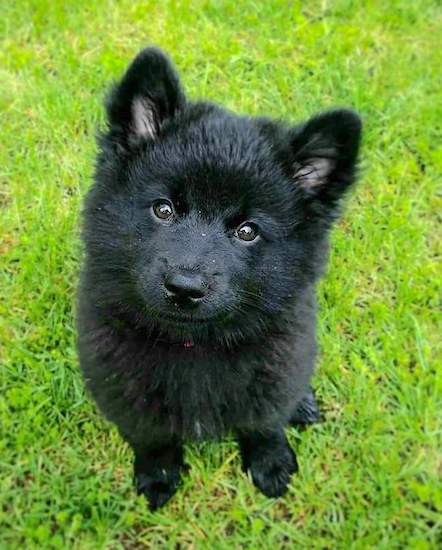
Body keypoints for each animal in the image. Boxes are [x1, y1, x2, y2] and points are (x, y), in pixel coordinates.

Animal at [77, 47, 360, 512]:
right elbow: (151, 435)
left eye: (247, 231)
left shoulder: (277, 368)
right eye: (163, 209)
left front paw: (271, 462)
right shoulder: (122, 384)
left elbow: (264, 422)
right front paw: (158, 474)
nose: (185, 287)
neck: (195, 344)